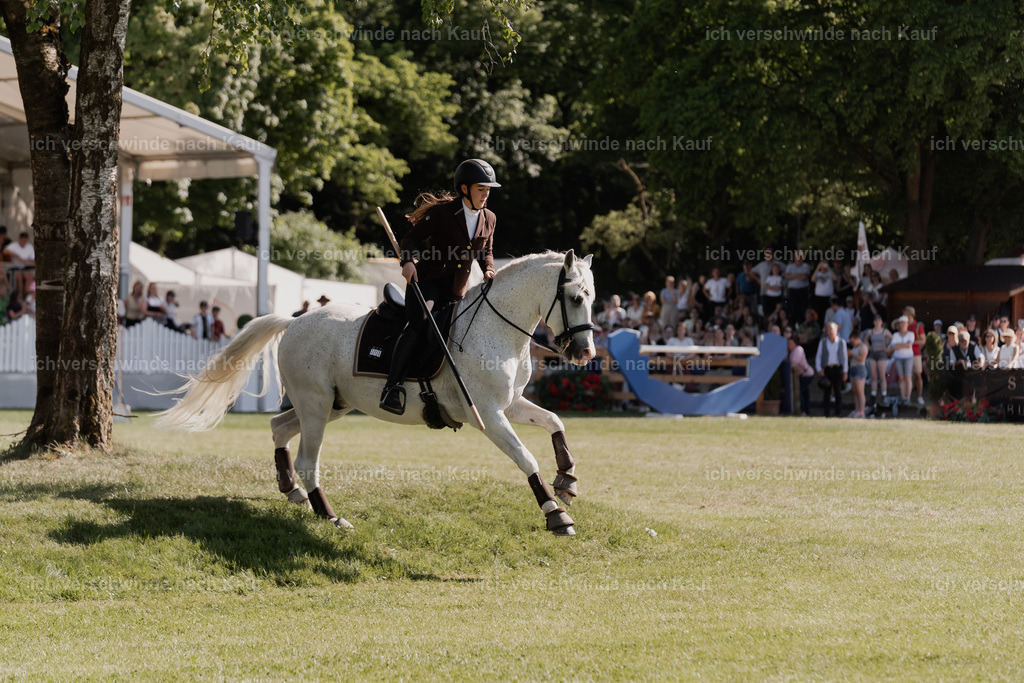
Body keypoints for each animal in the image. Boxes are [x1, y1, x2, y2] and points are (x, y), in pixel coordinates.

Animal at [156, 250, 598, 536]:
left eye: (592, 299)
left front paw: (567, 478)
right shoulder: (487, 414)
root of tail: (295, 320)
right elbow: (525, 457)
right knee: (307, 460)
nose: (585, 353)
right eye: (576, 298)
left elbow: (554, 421)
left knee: (279, 428)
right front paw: (555, 514)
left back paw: (292, 492)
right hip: (316, 405)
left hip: (331, 405)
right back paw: (330, 516)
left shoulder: (510, 405)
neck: (497, 329)